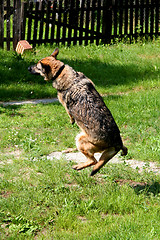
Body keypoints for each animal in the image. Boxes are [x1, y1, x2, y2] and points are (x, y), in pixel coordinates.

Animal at [27, 48, 127, 176]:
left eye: (37, 66)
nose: (28, 68)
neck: (60, 71)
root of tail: (117, 143)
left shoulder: (64, 103)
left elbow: (69, 113)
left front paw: (71, 120)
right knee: (118, 151)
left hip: (80, 139)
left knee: (93, 161)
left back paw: (78, 166)